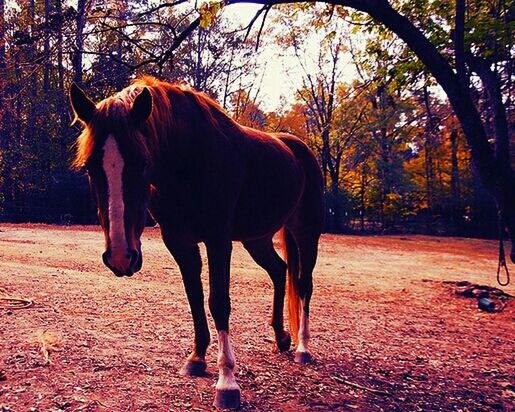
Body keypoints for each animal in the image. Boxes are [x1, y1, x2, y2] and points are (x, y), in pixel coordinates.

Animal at [70, 75, 324, 408]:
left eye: (142, 162)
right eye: (90, 167)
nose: (121, 257)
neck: (189, 160)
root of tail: (299, 149)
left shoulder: (218, 241)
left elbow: (218, 302)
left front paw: (227, 382)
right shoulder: (179, 243)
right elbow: (194, 297)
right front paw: (197, 358)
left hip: (306, 232)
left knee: (304, 283)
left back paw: (303, 348)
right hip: (257, 239)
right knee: (279, 271)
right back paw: (281, 338)